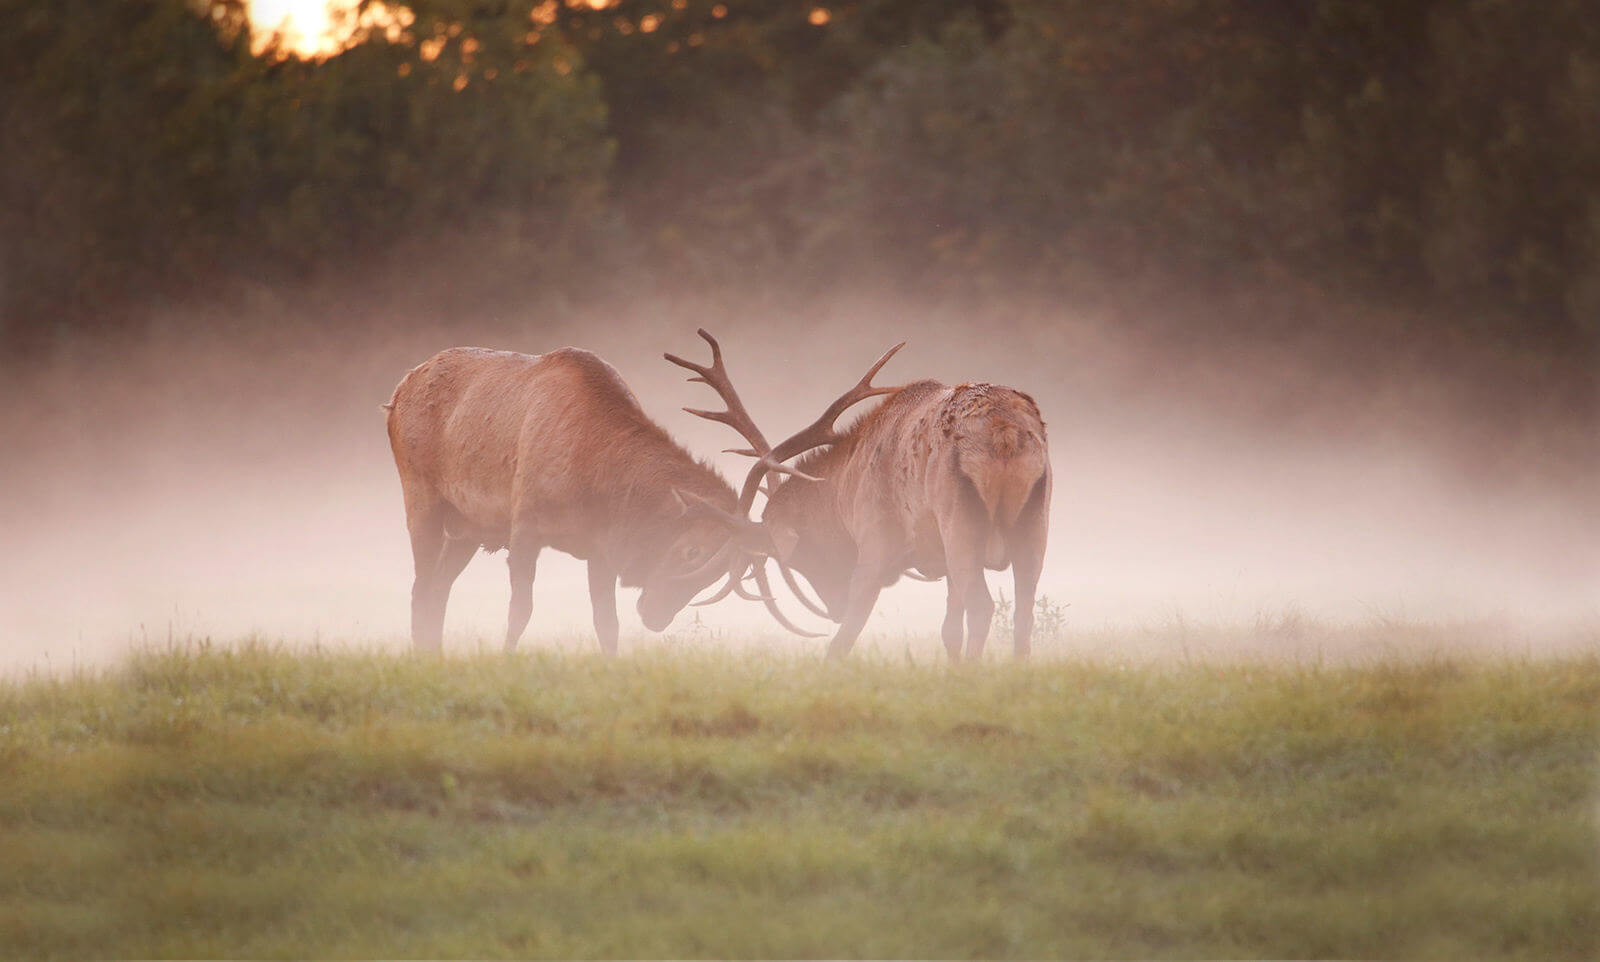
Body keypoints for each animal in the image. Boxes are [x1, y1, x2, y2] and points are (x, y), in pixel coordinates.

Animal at [384, 345, 752, 653]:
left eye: (716, 576)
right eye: (693, 551)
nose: (655, 617)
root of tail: (398, 391)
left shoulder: (599, 547)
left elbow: (607, 624)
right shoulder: (525, 525)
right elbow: (520, 612)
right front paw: (505, 661)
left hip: (467, 528)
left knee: (438, 589)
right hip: (421, 496)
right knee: (420, 589)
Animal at [668, 331, 1056, 659]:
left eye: (797, 557)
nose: (834, 609)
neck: (844, 493)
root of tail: (1003, 432)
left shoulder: (874, 542)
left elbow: (843, 643)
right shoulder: (939, 561)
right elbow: (949, 631)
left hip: (959, 521)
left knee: (984, 608)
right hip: (1035, 521)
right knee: (1023, 613)